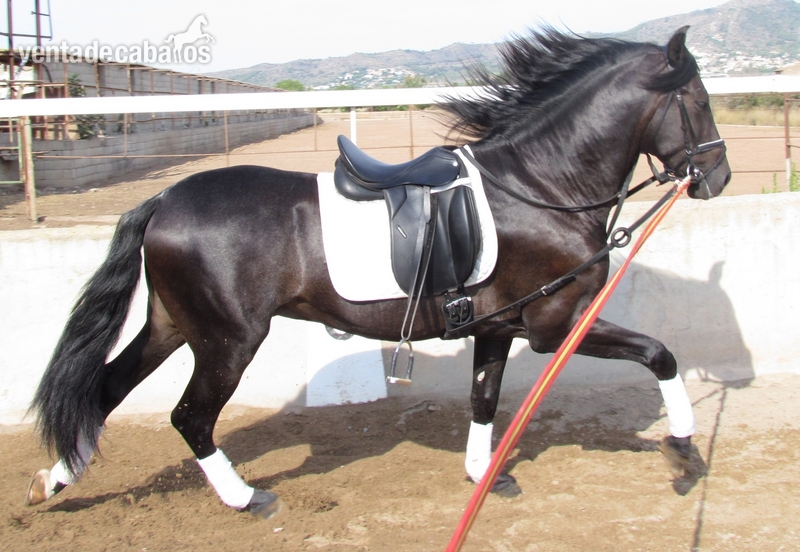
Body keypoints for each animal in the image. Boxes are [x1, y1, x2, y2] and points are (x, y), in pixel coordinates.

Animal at [26, 27, 730, 518]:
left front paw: (486, 474)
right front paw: (684, 448)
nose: (718, 176)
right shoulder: (554, 325)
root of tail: (163, 199)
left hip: (174, 325)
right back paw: (246, 499)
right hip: (228, 340)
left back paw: (54, 480)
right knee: (190, 419)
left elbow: (484, 398)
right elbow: (660, 354)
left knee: (106, 390)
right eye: (698, 99)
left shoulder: (497, 327)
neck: (537, 187)